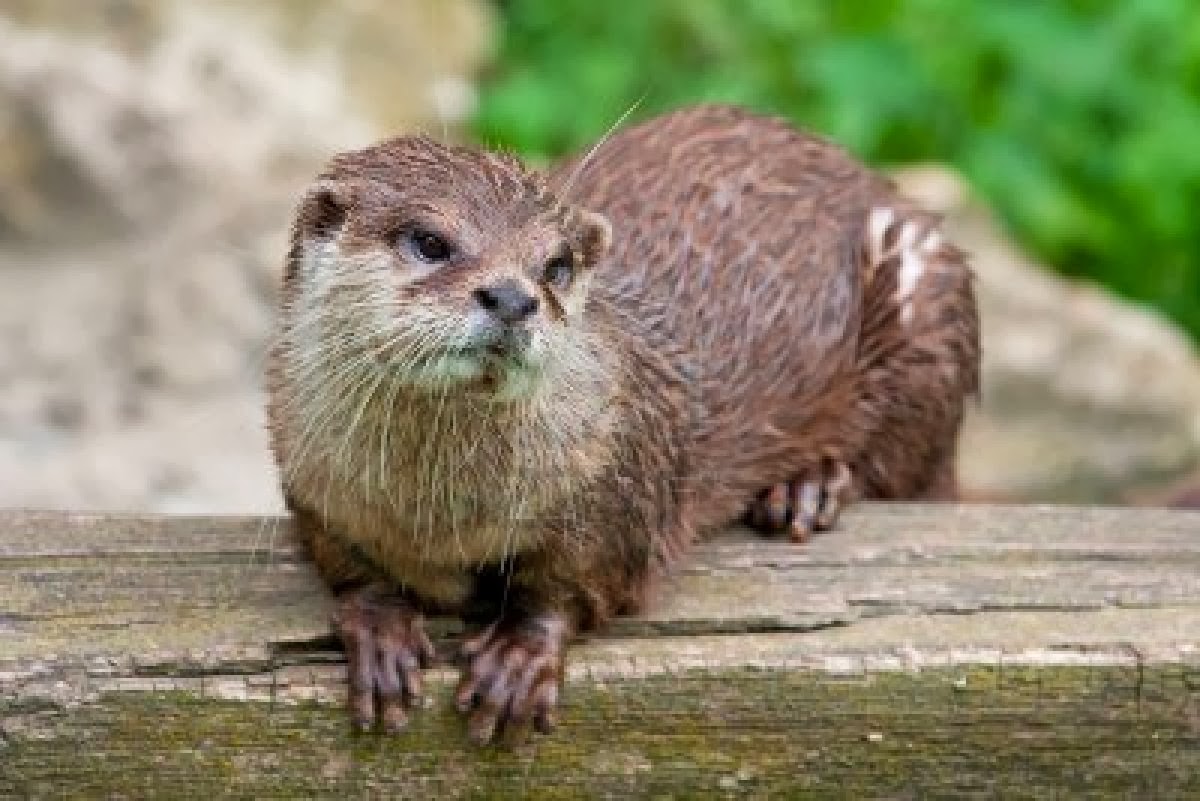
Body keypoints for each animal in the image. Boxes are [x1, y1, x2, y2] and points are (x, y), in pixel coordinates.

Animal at [266, 104, 980, 743]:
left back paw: (804, 489)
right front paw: (380, 632)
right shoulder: (309, 475)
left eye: (555, 266)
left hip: (927, 299)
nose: (513, 297)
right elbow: (348, 566)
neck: (442, 512)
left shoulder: (619, 482)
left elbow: (580, 584)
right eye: (430, 242)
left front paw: (520, 657)